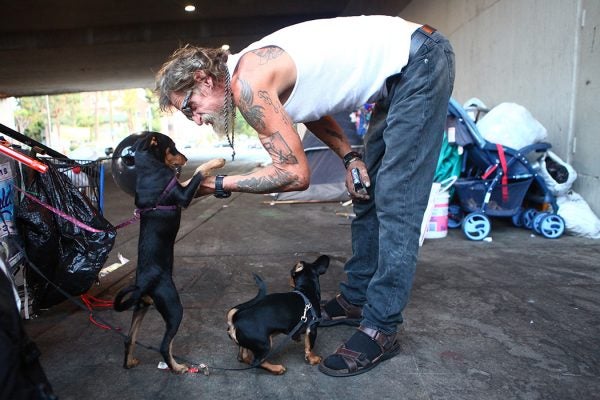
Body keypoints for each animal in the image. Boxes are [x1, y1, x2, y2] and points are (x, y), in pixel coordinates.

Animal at [113, 133, 225, 374]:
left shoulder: (182, 190)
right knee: (165, 345)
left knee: (129, 339)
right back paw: (178, 367)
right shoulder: (182, 195)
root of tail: (143, 284)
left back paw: (130, 362)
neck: (148, 169)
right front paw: (217, 161)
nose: (185, 158)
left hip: (141, 306)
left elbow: (194, 180)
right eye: (172, 147)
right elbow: (198, 172)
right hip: (173, 308)